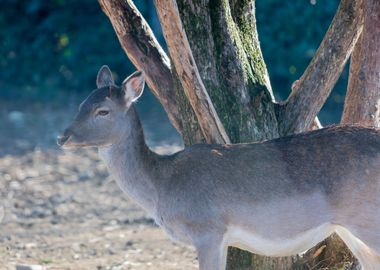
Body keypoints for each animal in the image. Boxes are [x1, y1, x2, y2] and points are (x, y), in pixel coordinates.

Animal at [58, 66, 380, 270]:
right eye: (81, 104)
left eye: (103, 111)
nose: (62, 137)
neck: (163, 186)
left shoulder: (207, 229)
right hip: (349, 227)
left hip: (366, 218)